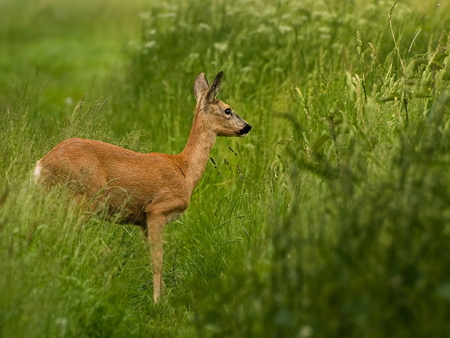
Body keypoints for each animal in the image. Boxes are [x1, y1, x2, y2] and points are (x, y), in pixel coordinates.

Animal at [34, 70, 253, 302]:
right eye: (228, 110)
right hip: (83, 199)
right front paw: (157, 302)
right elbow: (158, 259)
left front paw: (163, 295)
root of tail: (41, 165)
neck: (185, 171)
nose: (247, 127)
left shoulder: (142, 222)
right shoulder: (157, 209)